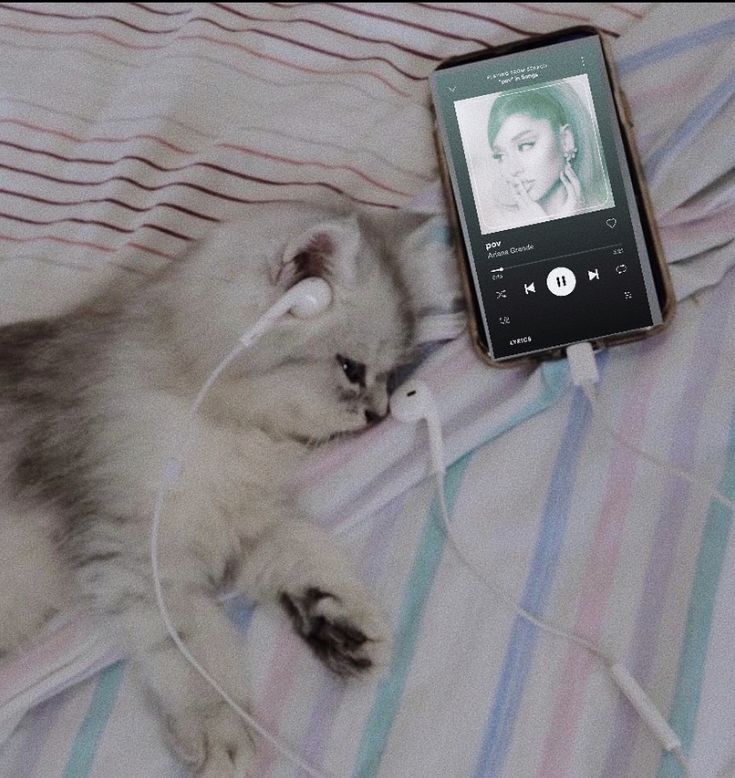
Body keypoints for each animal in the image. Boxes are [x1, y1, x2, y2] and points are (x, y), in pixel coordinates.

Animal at [0, 202, 420, 776]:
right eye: (352, 369)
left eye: (390, 375)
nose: (379, 413)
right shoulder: (141, 546)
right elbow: (196, 645)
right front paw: (218, 724)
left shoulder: (245, 515)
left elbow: (306, 550)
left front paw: (342, 622)